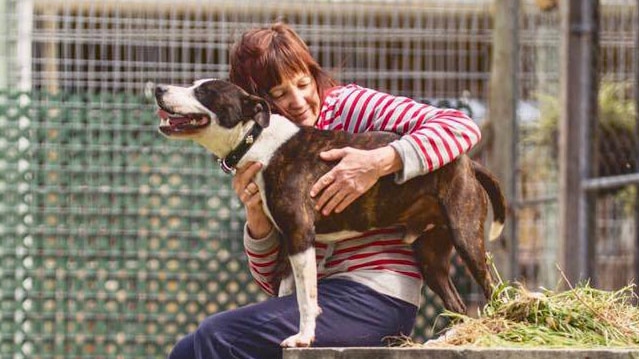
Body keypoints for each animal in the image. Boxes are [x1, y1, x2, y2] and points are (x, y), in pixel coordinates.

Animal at [154, 79, 504, 348]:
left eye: (204, 91)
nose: (158, 88)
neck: (257, 139)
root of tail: (468, 162)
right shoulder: (286, 246)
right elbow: (290, 292)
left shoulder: (300, 236)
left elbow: (306, 299)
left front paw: (303, 337)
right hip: (432, 258)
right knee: (459, 305)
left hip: (466, 237)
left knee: (492, 290)